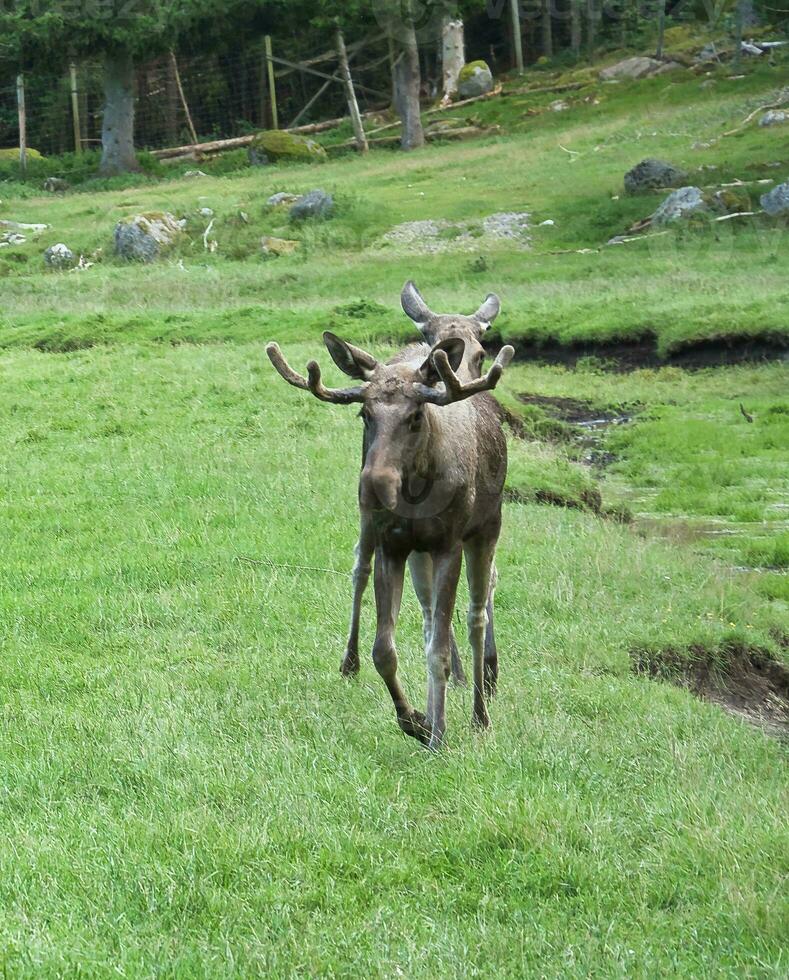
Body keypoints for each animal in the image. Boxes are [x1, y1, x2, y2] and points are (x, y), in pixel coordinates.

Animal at [268, 284, 516, 752]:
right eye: (365, 413)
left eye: (415, 415)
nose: (374, 484)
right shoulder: (394, 545)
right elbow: (385, 649)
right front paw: (415, 719)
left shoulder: (449, 544)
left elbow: (439, 649)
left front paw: (439, 733)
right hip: (406, 545)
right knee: (417, 612)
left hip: (485, 531)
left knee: (475, 616)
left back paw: (480, 715)